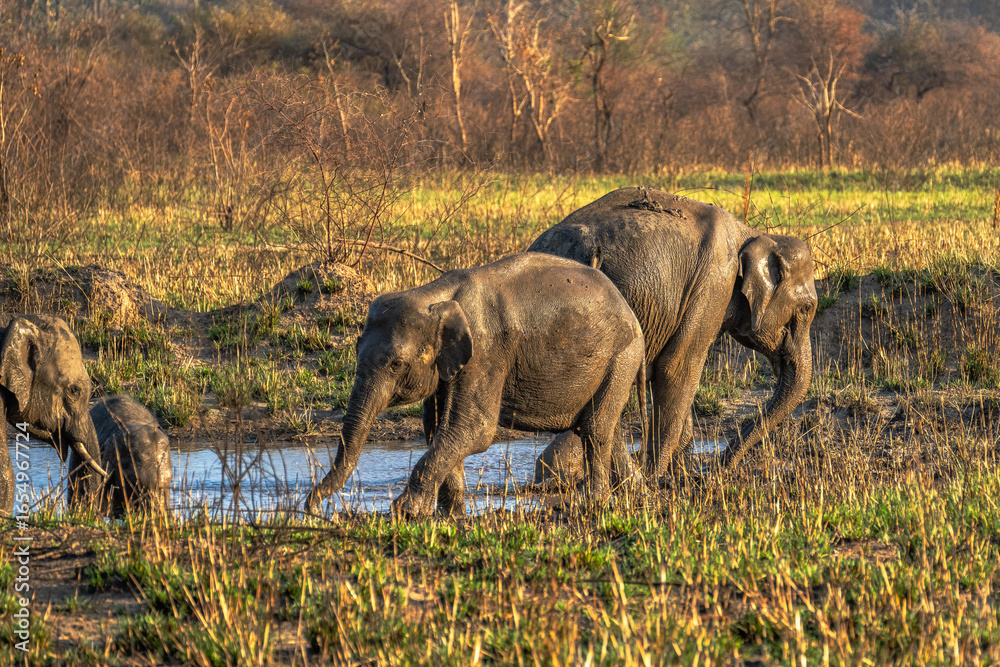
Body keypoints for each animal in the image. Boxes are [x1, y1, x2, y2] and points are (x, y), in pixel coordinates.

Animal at [305, 252, 646, 519]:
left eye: (396, 364)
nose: (312, 508)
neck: (434, 294)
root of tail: (623, 302)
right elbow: (438, 426)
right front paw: (450, 514)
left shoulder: (486, 352)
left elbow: (473, 429)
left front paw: (404, 511)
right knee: (606, 428)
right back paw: (637, 496)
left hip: (623, 354)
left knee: (594, 429)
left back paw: (595, 505)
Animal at [528, 187, 817, 480]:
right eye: (807, 309)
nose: (719, 468)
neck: (752, 234)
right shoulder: (712, 287)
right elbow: (678, 368)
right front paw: (659, 478)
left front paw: (679, 474)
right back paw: (631, 479)